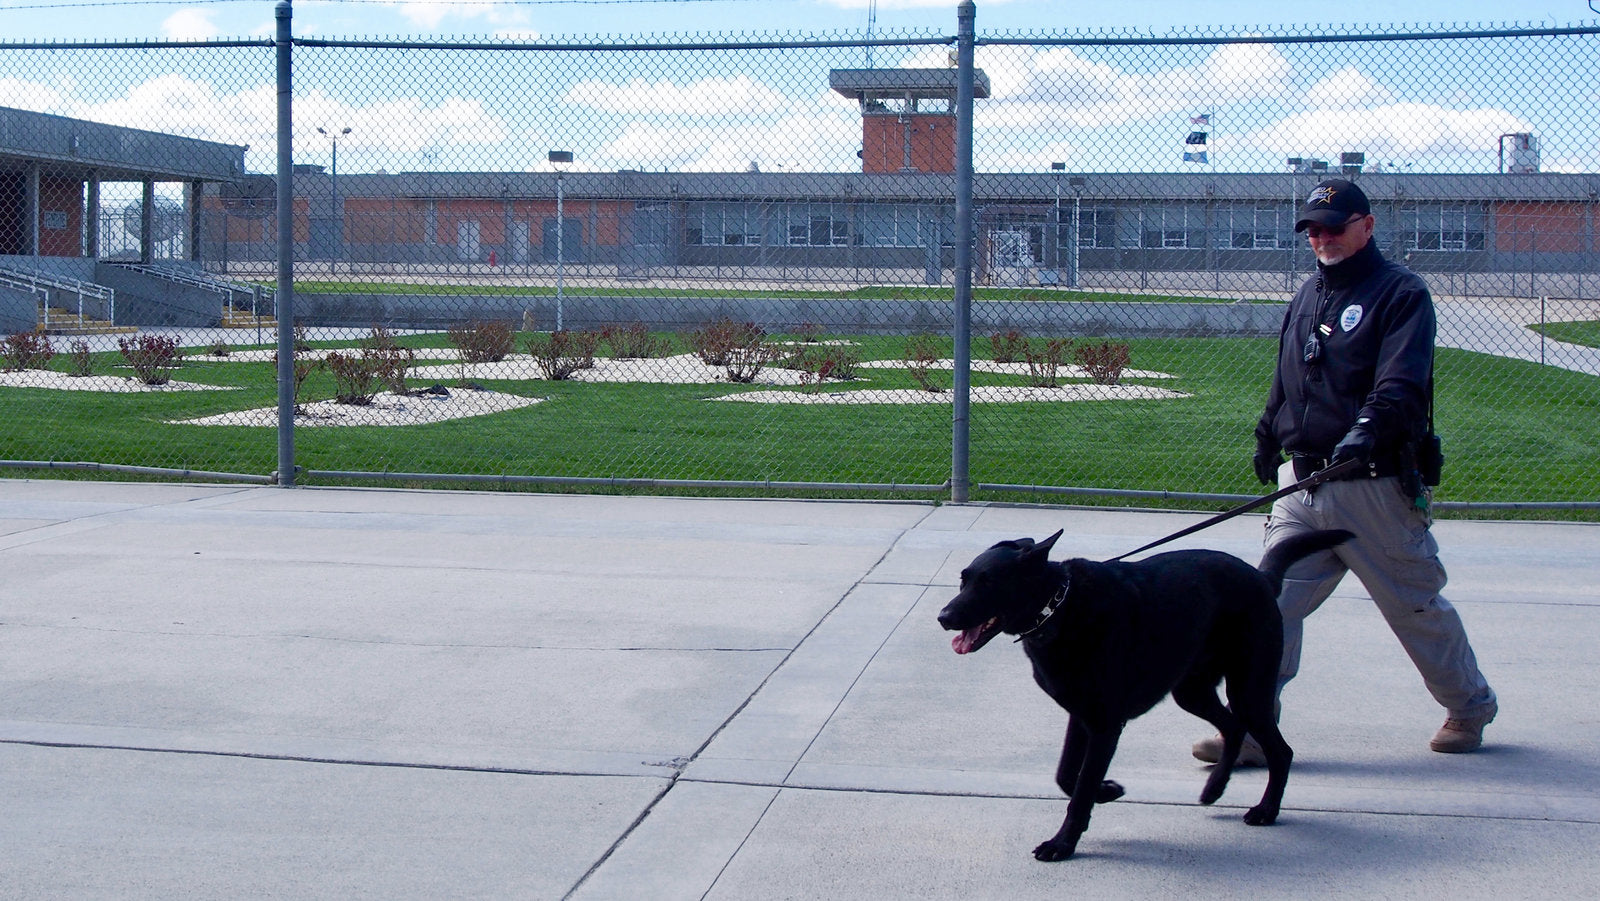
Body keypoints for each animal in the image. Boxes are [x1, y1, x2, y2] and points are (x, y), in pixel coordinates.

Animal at [934, 524, 1356, 864]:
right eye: (964, 579)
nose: (943, 617)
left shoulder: (1105, 723)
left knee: (1280, 750)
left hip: (1249, 689)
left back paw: (1266, 810)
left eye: (989, 582)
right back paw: (1214, 788)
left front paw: (1063, 844)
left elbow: (1080, 789)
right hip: (1192, 689)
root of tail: (1262, 577)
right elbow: (1067, 776)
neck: (1059, 607)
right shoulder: (1081, 715)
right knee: (1234, 728)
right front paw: (1108, 790)